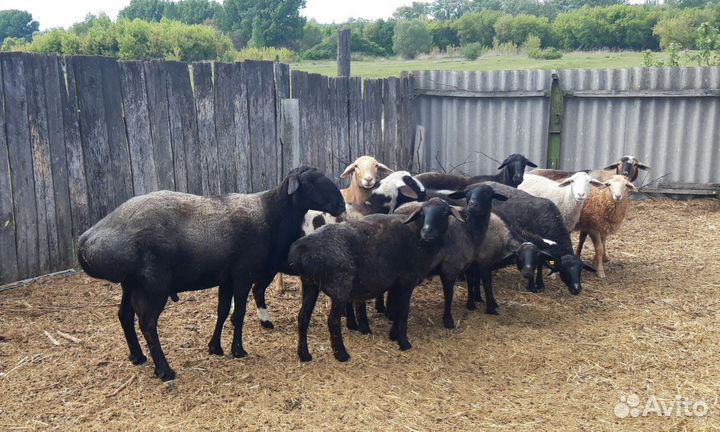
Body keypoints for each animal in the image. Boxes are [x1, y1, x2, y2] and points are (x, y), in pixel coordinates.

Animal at [77, 167, 344, 381]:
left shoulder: (226, 278)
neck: (270, 214)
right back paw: (164, 370)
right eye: (310, 181)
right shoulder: (243, 274)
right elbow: (239, 314)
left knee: (124, 315)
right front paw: (238, 350)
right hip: (153, 284)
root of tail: (87, 240)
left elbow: (223, 311)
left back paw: (137, 356)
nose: (341, 205)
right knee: (148, 323)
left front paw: (215, 348)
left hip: (130, 282)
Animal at [288, 198, 463, 362]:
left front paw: (393, 336)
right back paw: (342, 355)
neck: (417, 238)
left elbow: (396, 310)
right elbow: (403, 312)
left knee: (303, 317)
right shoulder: (407, 281)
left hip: (309, 283)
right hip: (339, 286)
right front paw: (404, 343)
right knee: (332, 321)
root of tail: (302, 249)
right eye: (422, 212)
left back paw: (304, 355)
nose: (427, 233)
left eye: (443, 212)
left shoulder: (397, 284)